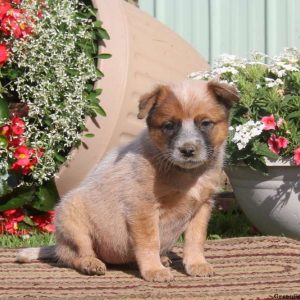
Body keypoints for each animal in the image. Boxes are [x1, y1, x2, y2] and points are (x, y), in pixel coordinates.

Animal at [17, 79, 240, 282]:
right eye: (169, 125)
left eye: (205, 123)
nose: (187, 150)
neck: (186, 174)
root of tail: (58, 246)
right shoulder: (143, 208)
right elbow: (150, 242)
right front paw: (154, 270)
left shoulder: (202, 207)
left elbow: (195, 240)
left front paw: (197, 264)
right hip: (72, 218)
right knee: (75, 256)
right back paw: (91, 263)